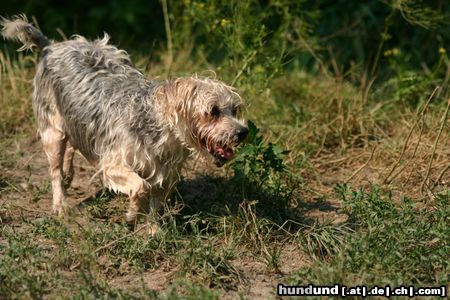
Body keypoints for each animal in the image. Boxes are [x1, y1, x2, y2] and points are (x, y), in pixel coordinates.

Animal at [0, 14, 246, 230]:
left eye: (234, 109)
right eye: (213, 111)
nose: (243, 132)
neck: (161, 131)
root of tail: (51, 46)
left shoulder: (165, 175)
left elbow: (155, 205)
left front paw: (153, 231)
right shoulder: (113, 164)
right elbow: (140, 186)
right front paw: (132, 214)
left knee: (71, 147)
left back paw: (69, 173)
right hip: (52, 130)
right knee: (55, 170)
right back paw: (60, 203)